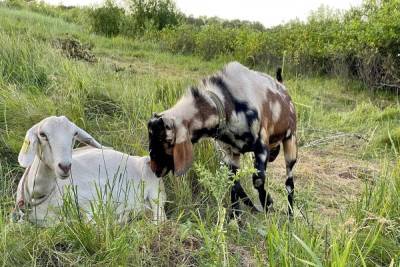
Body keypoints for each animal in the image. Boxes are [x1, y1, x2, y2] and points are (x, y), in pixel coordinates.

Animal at [12, 116, 166, 226]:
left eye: (74, 134)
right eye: (42, 134)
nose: (65, 166)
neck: (38, 195)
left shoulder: (91, 203)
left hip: (155, 193)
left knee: (160, 220)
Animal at [148, 61, 296, 219]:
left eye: (163, 141)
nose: (154, 171)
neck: (226, 103)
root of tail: (282, 88)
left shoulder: (261, 147)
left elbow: (258, 180)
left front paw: (268, 204)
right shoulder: (230, 153)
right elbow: (234, 185)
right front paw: (237, 217)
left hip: (290, 144)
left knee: (289, 183)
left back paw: (290, 216)